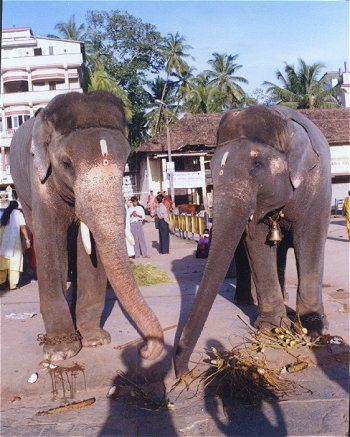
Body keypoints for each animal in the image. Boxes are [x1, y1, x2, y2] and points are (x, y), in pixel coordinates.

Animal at [10, 91, 164, 362]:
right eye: (66, 163)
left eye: (126, 159)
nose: (144, 349)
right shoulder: (40, 180)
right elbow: (50, 242)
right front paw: (61, 352)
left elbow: (91, 251)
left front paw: (95, 340)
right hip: (21, 189)